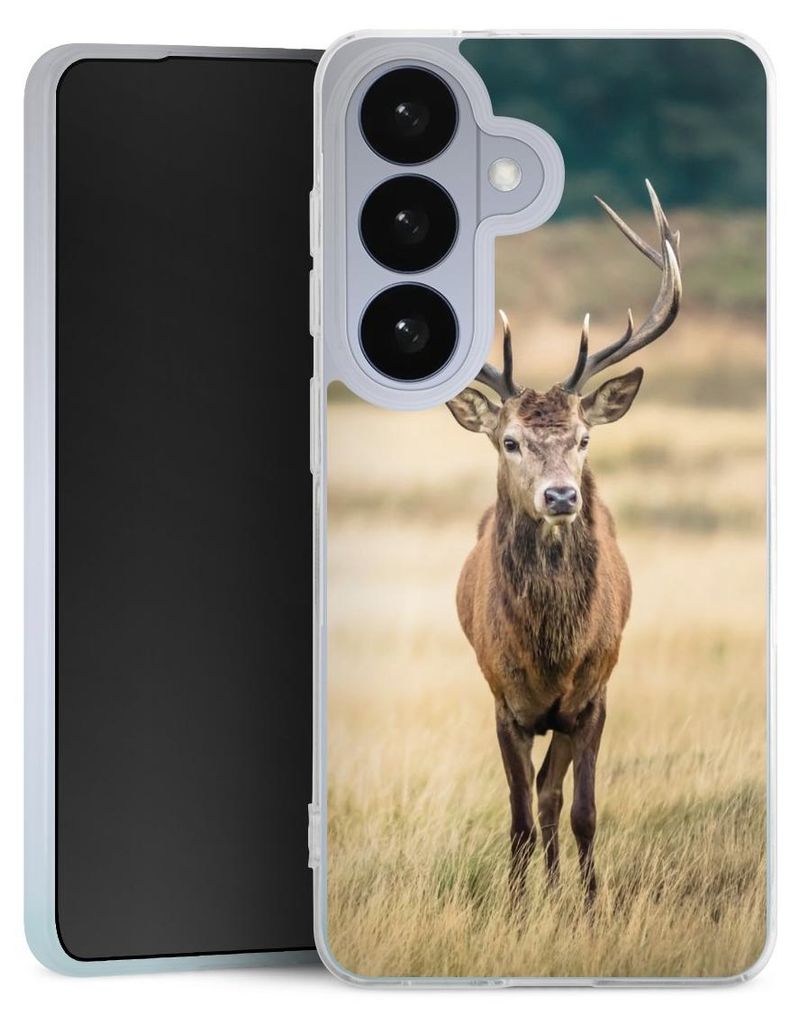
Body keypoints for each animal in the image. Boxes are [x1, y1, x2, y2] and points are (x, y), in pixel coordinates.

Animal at [446, 182, 682, 908]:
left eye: (583, 438)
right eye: (510, 440)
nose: (560, 496)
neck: (552, 652)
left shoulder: (594, 694)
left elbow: (581, 810)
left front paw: (589, 906)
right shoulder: (503, 698)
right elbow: (520, 815)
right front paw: (519, 909)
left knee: (554, 797)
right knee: (536, 801)